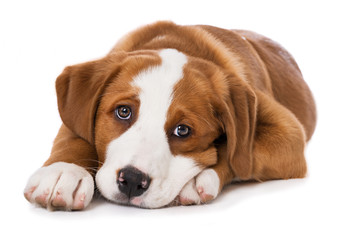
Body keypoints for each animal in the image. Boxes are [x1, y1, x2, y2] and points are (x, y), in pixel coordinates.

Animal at [23, 22, 316, 210]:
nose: (132, 181)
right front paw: (63, 172)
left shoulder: (288, 133)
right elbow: (74, 135)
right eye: (123, 111)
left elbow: (237, 152)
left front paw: (199, 176)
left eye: (182, 130)